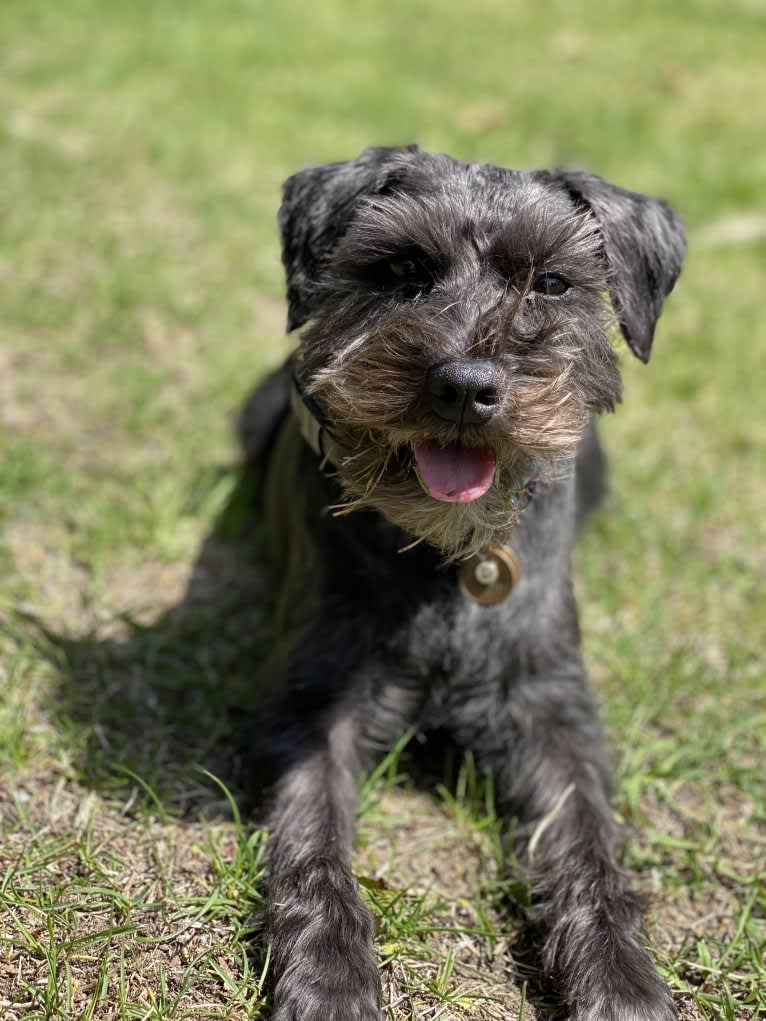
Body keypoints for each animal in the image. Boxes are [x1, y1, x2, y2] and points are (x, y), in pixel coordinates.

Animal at [238, 146, 682, 1021]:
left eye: (553, 282)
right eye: (402, 269)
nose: (465, 385)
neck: (446, 561)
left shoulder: (552, 707)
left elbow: (586, 844)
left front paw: (622, 979)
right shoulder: (314, 701)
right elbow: (312, 842)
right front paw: (329, 974)